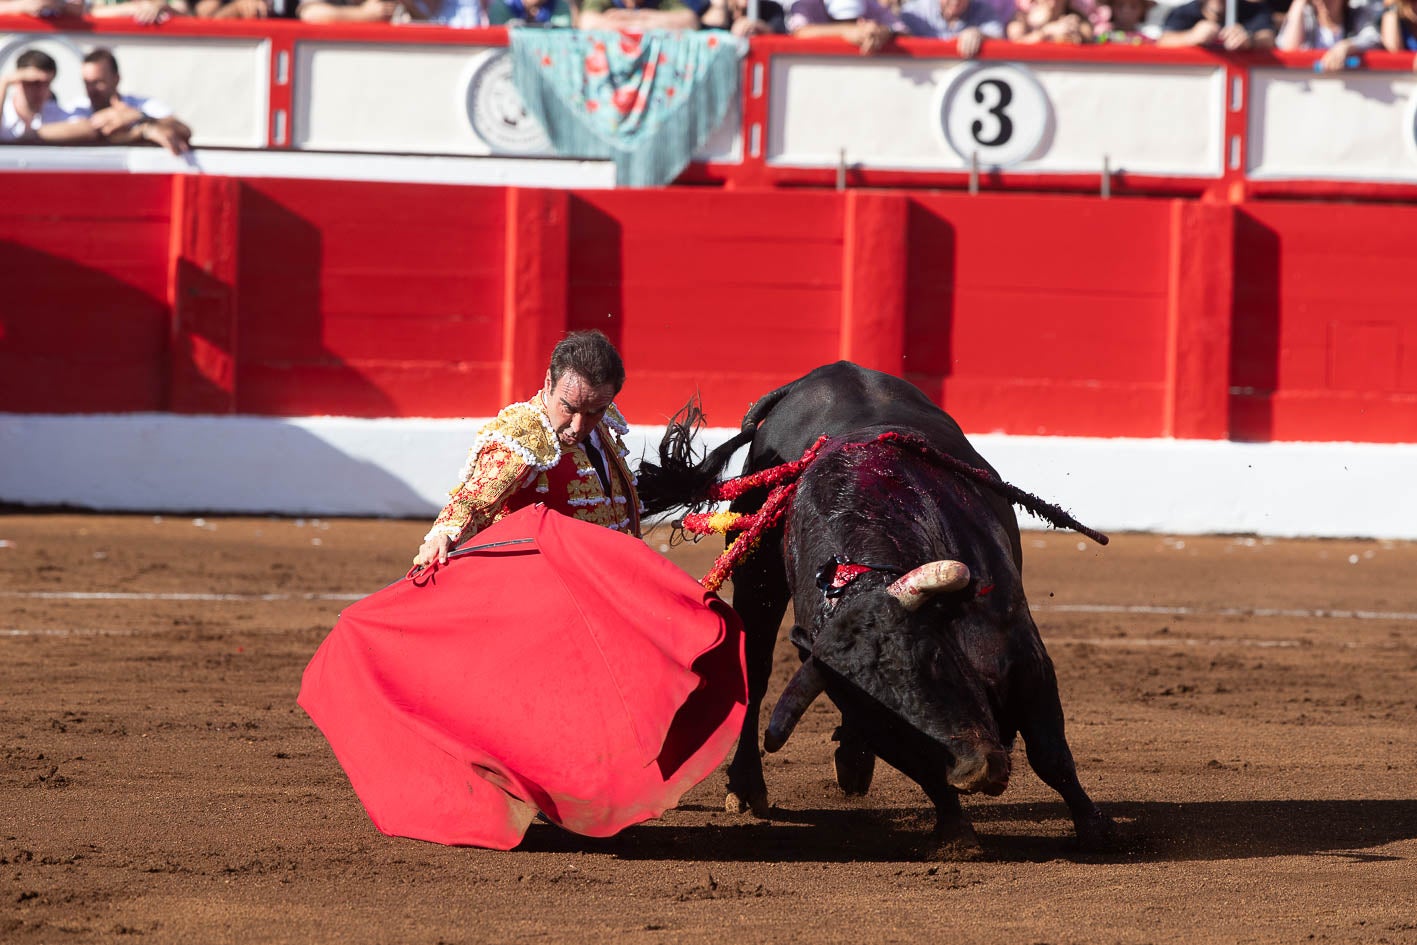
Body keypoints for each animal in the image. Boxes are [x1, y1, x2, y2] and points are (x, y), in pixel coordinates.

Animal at [643, 362, 1116, 855]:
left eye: (935, 661)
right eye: (885, 717)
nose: (976, 773)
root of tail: (815, 377)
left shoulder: (1023, 652)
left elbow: (1050, 753)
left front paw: (1095, 828)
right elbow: (929, 772)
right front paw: (955, 831)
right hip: (756, 583)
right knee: (754, 673)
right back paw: (749, 786)